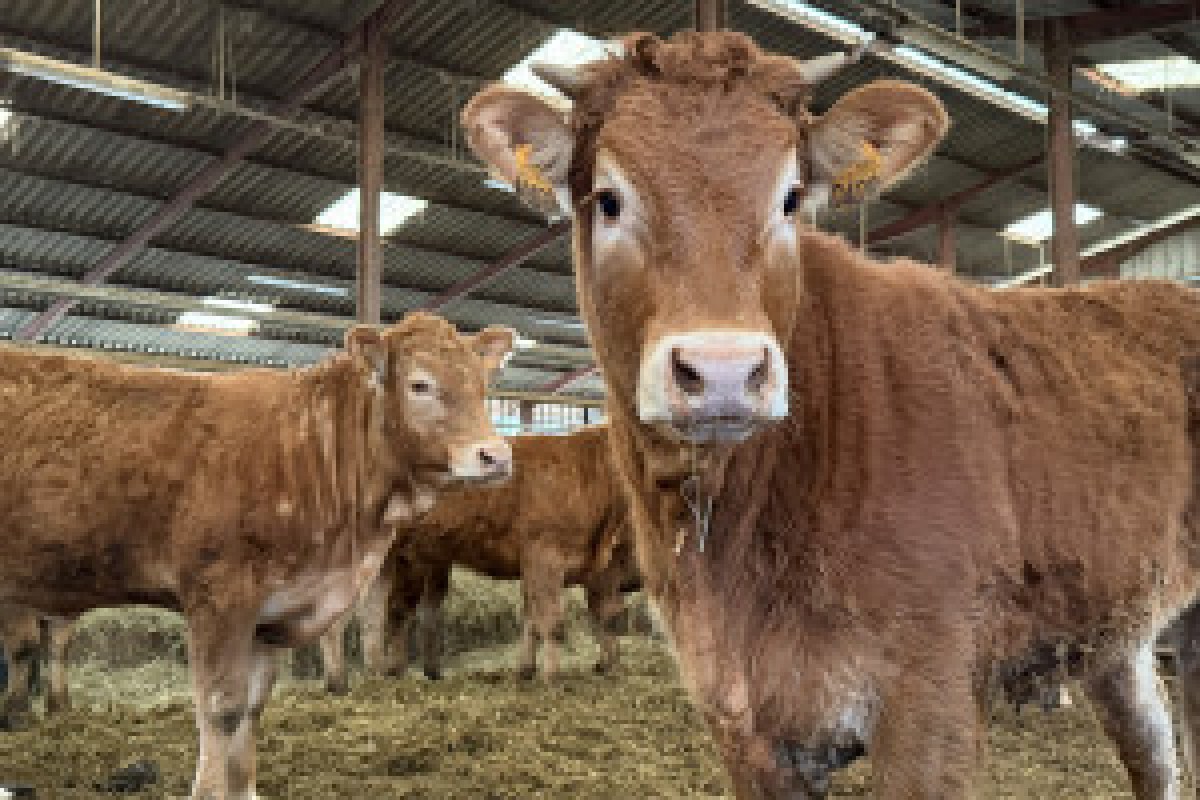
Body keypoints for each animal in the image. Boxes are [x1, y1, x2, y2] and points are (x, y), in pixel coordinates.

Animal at [0, 311, 514, 800]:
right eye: (420, 384)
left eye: (483, 384)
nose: (496, 455)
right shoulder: (220, 597)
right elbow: (221, 706)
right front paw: (208, 790)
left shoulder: (271, 613)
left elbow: (253, 705)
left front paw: (242, 787)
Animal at [317, 424, 640, 689]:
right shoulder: (546, 557)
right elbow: (554, 622)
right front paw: (554, 677)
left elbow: (535, 619)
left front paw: (528, 670)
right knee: (362, 614)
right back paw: (347, 679)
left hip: (388, 559)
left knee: (375, 611)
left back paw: (379, 672)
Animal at [463, 30, 1200, 799]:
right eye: (607, 199)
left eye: (790, 198)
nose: (723, 370)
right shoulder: (744, 726)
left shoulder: (931, 696)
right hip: (1116, 624)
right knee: (1154, 743)